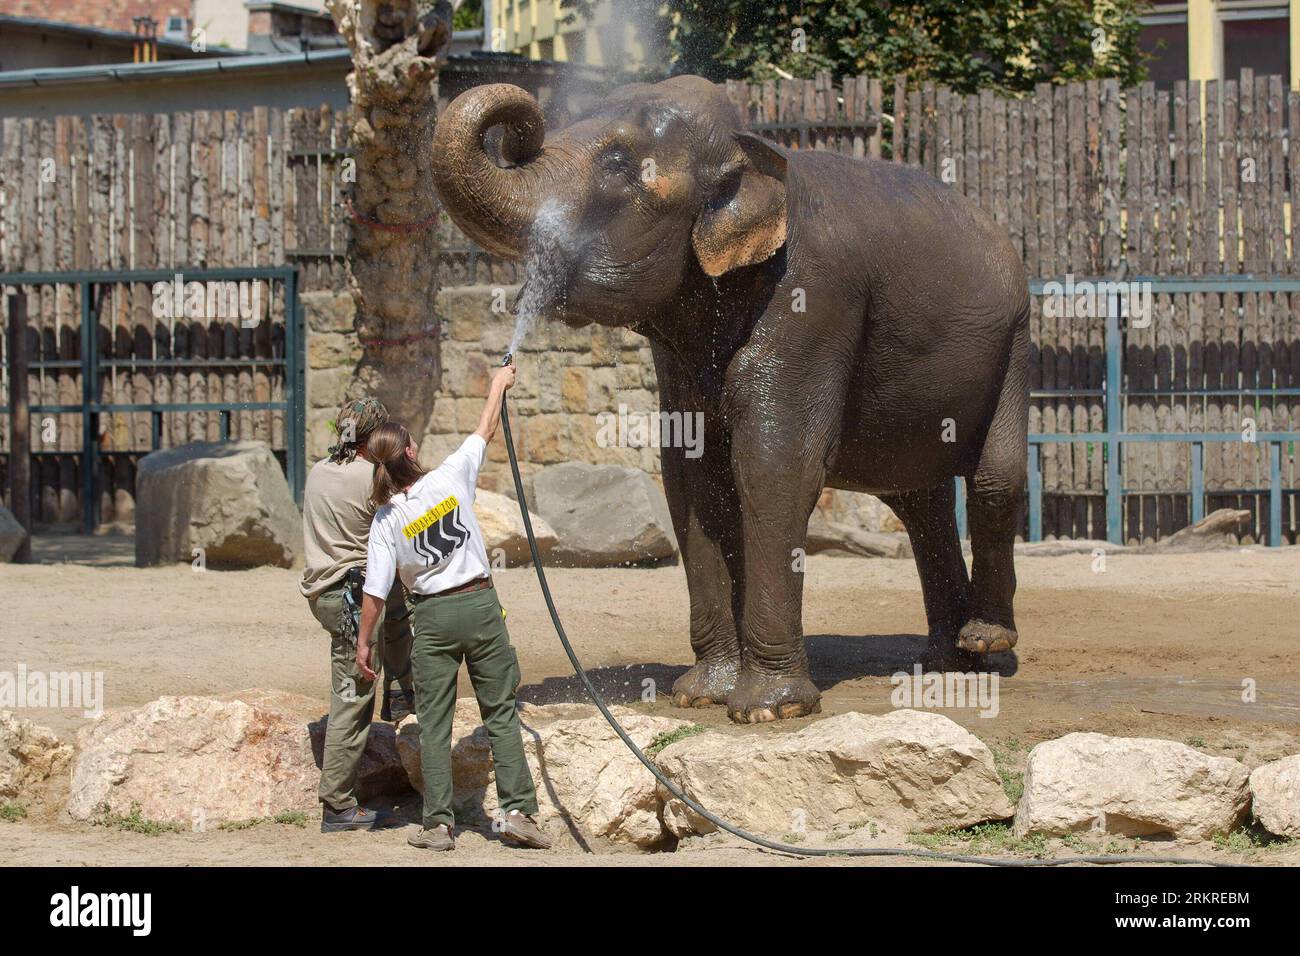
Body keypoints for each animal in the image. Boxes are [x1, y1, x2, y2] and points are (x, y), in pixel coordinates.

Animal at [431, 76, 1029, 723]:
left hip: (1015, 343)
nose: (521, 129)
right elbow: (690, 474)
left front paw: (768, 710)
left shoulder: (812, 297)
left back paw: (985, 642)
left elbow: (774, 463)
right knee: (920, 504)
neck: (752, 148)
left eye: (616, 163)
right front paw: (700, 695)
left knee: (994, 481)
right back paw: (948, 659)